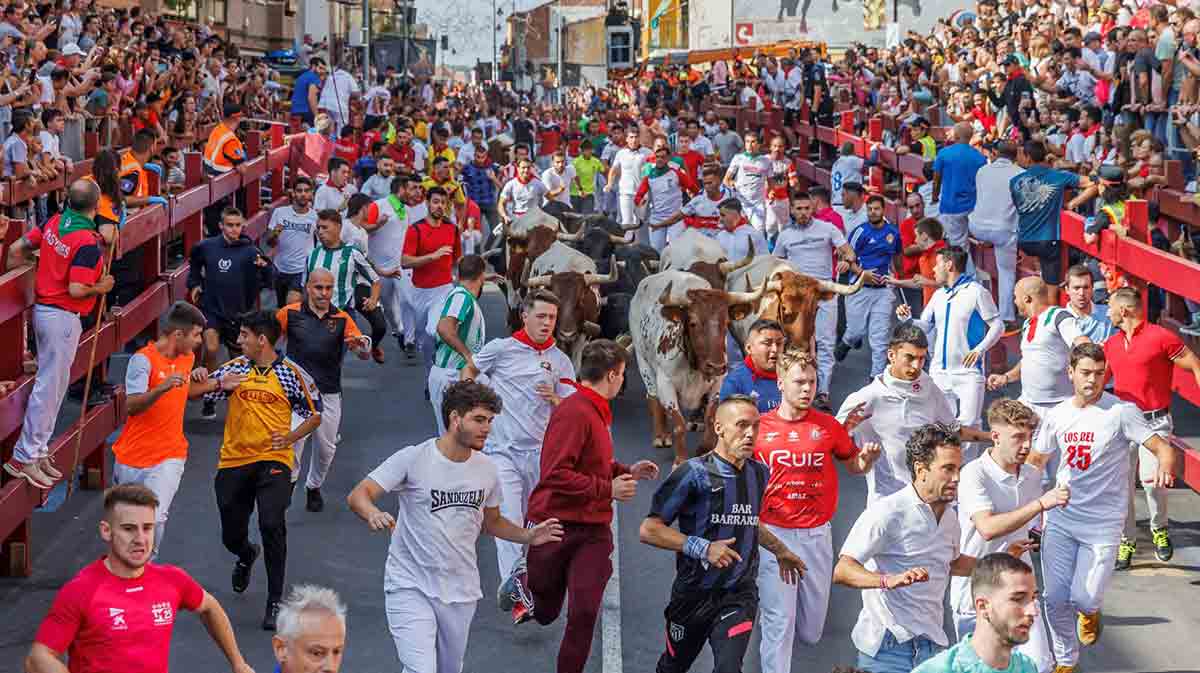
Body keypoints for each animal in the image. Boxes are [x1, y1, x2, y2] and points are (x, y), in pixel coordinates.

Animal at [628, 267, 768, 460]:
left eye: (726, 322)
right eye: (693, 323)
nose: (716, 366)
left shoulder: (718, 383)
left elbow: (711, 418)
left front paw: (705, 449)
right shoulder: (666, 383)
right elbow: (678, 424)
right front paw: (680, 460)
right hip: (643, 362)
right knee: (653, 396)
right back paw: (661, 435)